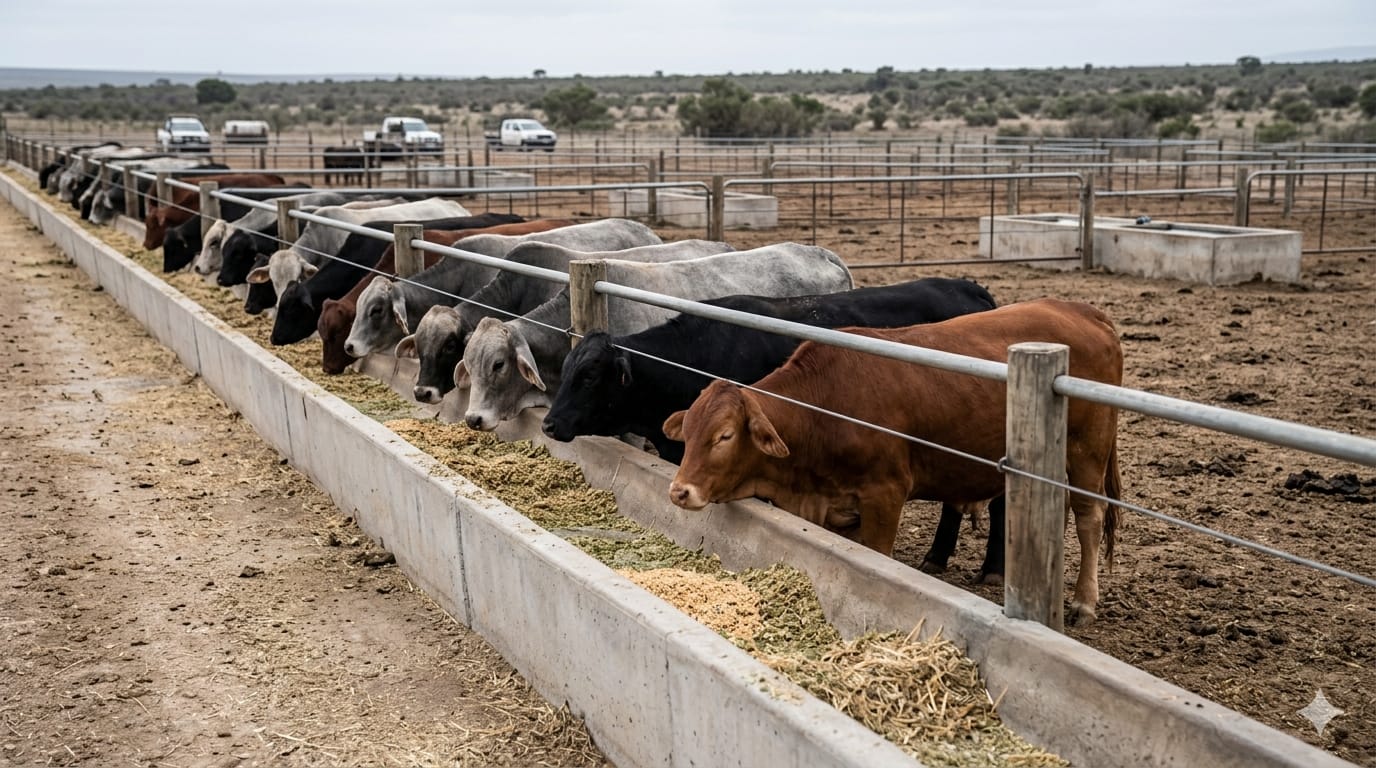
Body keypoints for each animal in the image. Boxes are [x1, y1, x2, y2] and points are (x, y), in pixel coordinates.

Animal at [663, 298, 1124, 626]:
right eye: (689, 432)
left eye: (724, 436)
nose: (679, 491)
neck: (823, 409)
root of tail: (1082, 310)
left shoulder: (884, 495)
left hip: (1088, 449)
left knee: (1089, 518)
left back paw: (1083, 602)